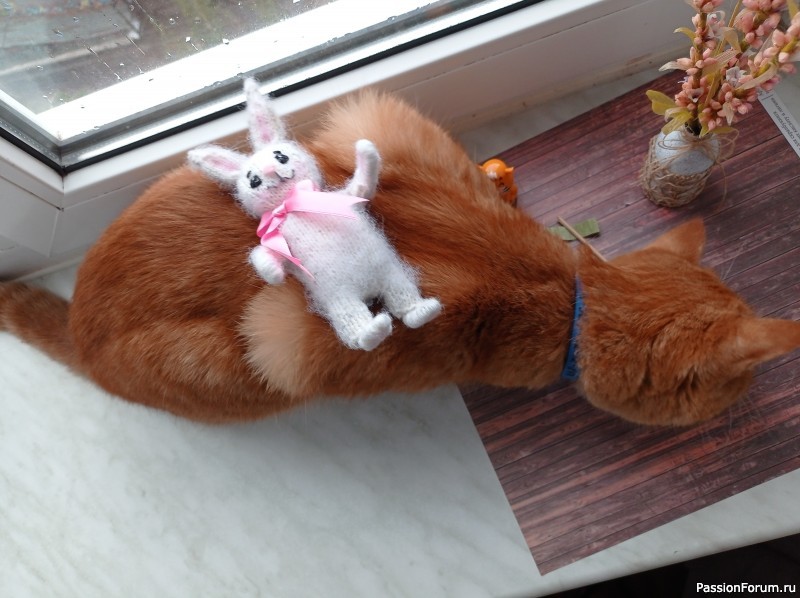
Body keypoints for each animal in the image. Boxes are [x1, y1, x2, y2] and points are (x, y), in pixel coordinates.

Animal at [1, 91, 799, 426]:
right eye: (734, 388)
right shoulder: (290, 340)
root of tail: (81, 331)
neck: (571, 296)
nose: (752, 400)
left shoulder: (384, 125)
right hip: (249, 365)